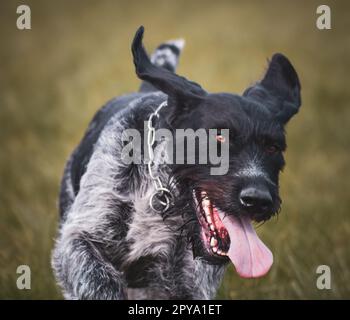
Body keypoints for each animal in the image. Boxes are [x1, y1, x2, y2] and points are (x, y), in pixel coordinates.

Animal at [51, 25, 300, 300]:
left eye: (273, 147)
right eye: (219, 137)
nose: (258, 200)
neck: (158, 195)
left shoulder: (189, 282)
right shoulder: (78, 240)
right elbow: (99, 281)